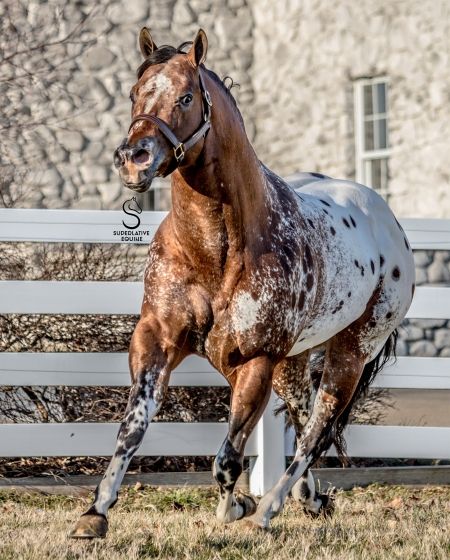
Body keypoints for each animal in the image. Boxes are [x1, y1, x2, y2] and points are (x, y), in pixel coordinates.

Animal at [70, 28, 414, 536]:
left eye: (186, 97)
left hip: (351, 352)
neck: (215, 253)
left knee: (316, 431)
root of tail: (389, 222)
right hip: (294, 361)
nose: (133, 160)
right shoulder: (156, 340)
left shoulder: (254, 362)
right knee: (302, 416)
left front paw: (236, 507)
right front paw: (94, 514)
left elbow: (227, 458)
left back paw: (268, 509)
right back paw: (310, 499)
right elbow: (132, 428)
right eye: (134, 94)